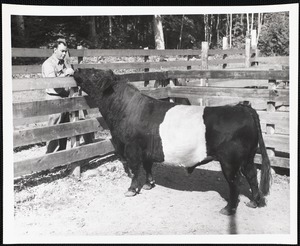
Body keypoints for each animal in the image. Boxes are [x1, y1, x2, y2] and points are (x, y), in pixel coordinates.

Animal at [73, 67, 272, 215]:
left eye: (95, 74)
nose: (77, 69)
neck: (124, 109)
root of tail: (243, 108)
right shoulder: (147, 149)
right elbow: (148, 166)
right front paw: (148, 184)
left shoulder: (132, 148)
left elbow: (136, 169)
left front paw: (132, 189)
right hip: (247, 158)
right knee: (252, 176)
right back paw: (255, 202)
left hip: (230, 161)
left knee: (235, 182)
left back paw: (229, 209)